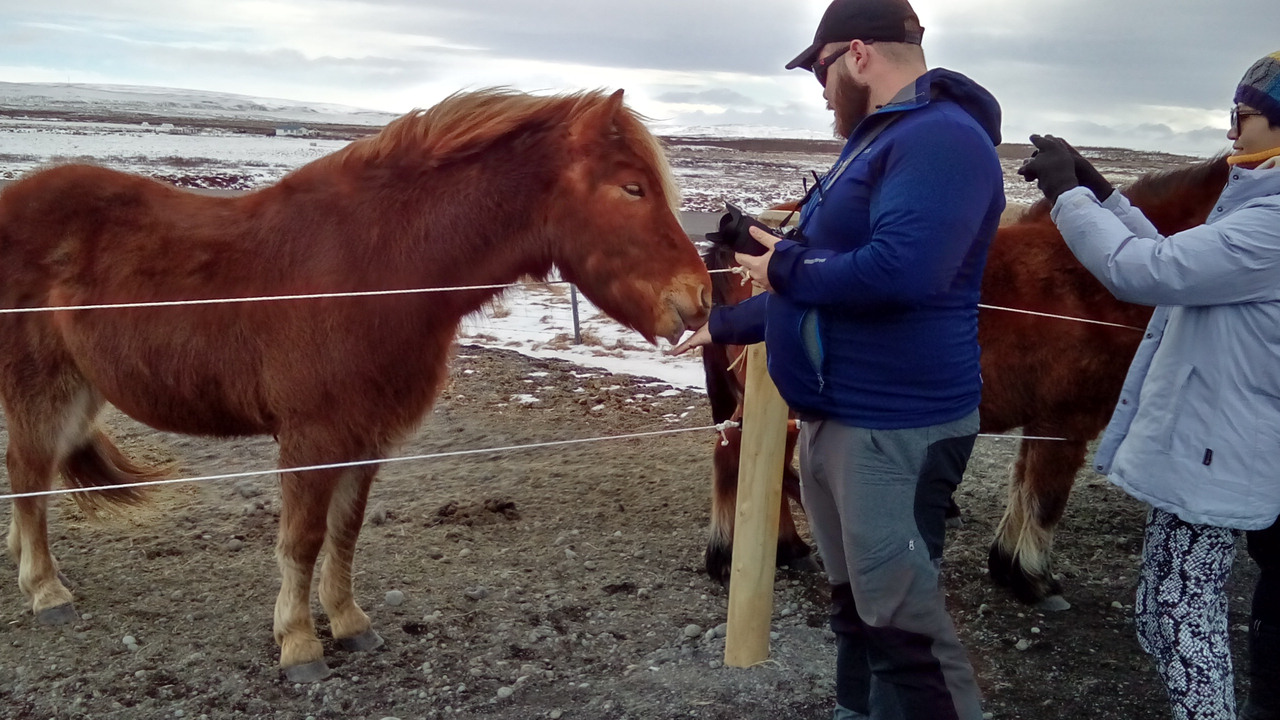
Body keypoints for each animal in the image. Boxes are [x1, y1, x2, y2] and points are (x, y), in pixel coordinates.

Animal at [0, 88, 712, 682]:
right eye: (632, 188)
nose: (699, 298)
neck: (377, 266)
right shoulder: (313, 437)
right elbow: (303, 538)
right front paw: (298, 644)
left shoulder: (367, 436)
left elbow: (345, 530)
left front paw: (347, 623)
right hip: (41, 388)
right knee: (29, 476)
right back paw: (46, 591)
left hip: (80, 390)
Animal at [702, 155, 1229, 607]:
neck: (1093, 275)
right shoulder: (1068, 423)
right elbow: (1046, 498)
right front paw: (1033, 577)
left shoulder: (1043, 423)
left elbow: (1023, 486)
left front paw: (1008, 564)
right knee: (737, 455)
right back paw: (742, 552)